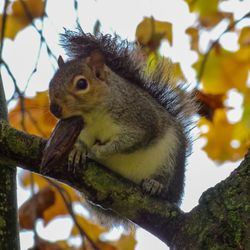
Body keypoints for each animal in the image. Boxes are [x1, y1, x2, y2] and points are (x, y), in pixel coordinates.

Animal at [48, 28, 197, 226]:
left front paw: (97, 151)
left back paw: (156, 184)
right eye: (51, 83)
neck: (94, 117)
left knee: (166, 182)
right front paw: (78, 151)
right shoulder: (81, 130)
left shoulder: (141, 120)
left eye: (82, 83)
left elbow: (129, 141)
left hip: (170, 156)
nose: (54, 109)